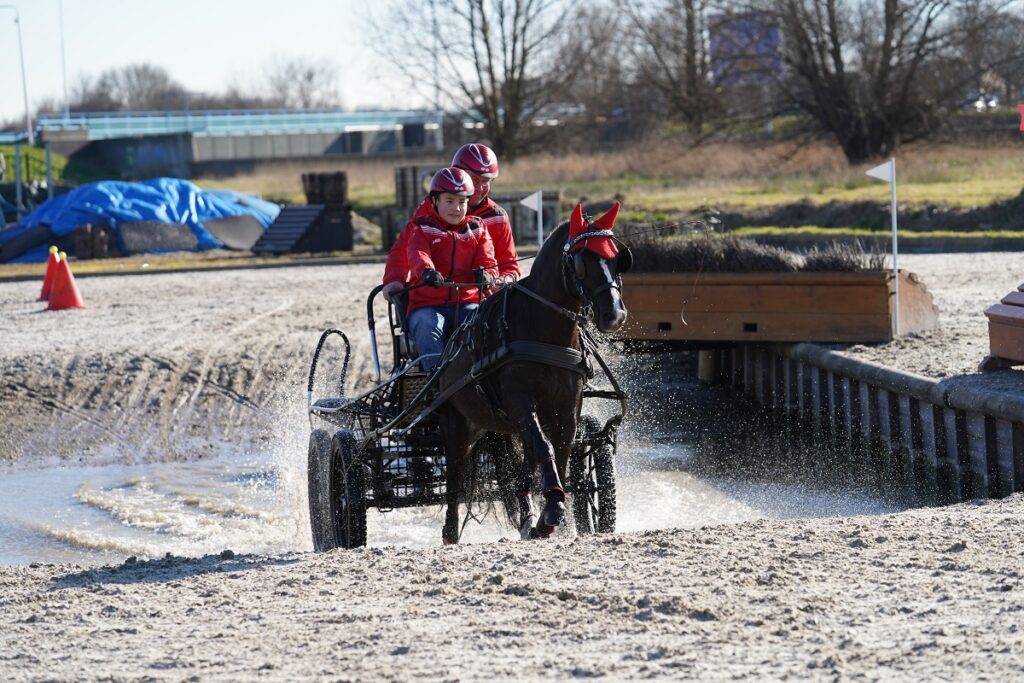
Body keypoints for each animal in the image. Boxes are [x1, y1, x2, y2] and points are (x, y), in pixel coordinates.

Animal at [434, 200, 626, 540]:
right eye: (581, 262)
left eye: (618, 259)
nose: (614, 315)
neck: (545, 332)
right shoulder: (520, 401)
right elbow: (544, 446)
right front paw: (552, 506)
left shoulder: (567, 407)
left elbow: (559, 450)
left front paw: (548, 512)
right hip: (458, 422)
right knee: (455, 475)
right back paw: (451, 532)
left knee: (524, 462)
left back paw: (527, 514)